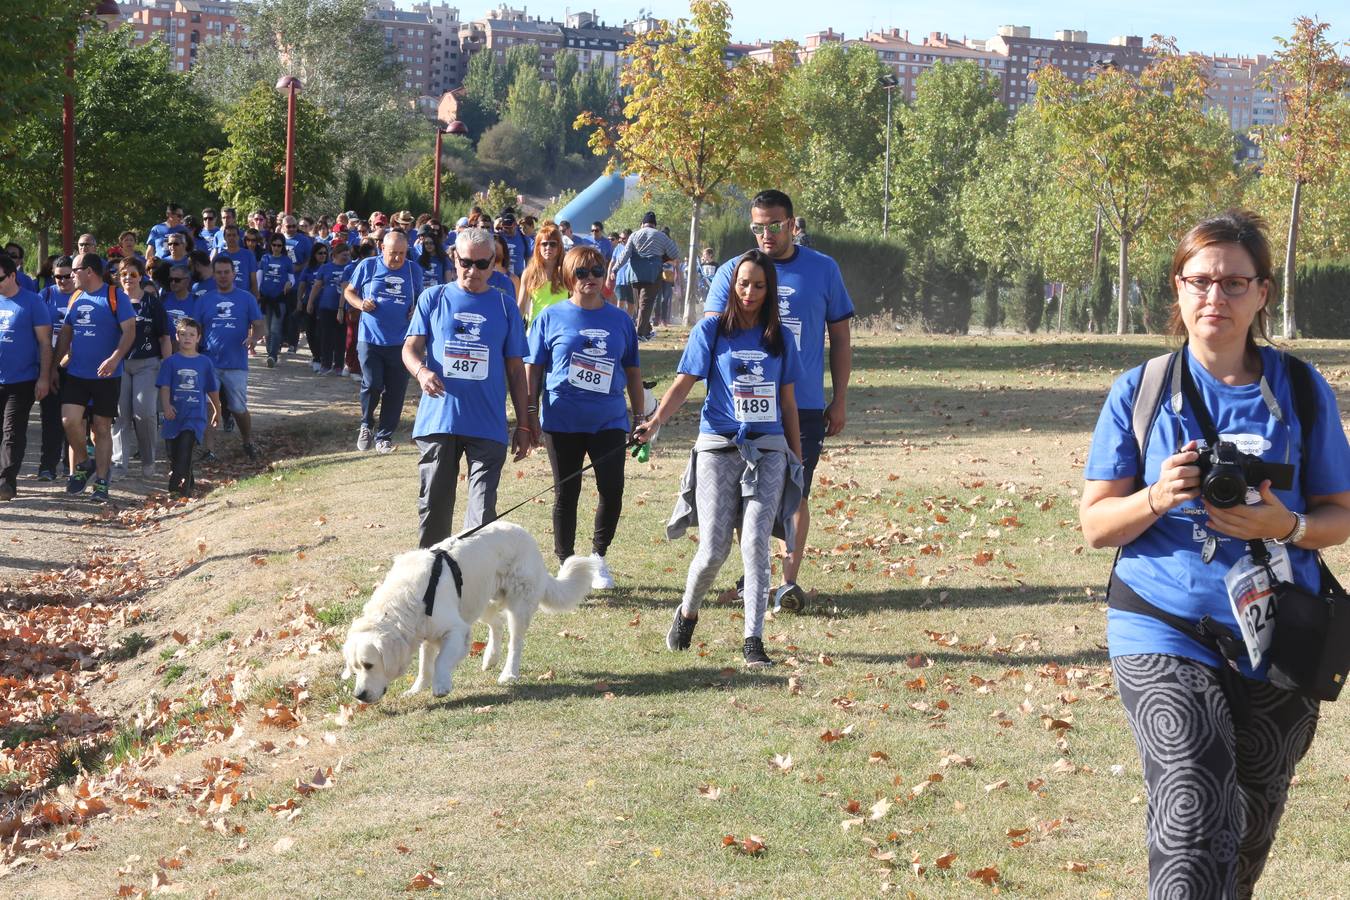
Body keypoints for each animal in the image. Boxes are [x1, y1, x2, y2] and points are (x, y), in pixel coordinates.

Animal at [342, 520, 596, 701]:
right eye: (355, 668)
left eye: (368, 665)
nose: (359, 696)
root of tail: (526, 535)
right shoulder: (425, 632)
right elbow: (425, 664)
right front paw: (417, 689)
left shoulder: (456, 630)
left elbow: (440, 660)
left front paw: (441, 685)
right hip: (480, 599)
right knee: (497, 625)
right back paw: (490, 658)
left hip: (518, 604)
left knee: (515, 642)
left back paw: (508, 673)